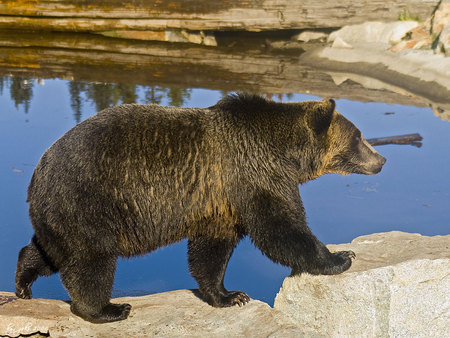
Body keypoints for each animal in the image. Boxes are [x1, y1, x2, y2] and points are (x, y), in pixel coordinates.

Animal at [14, 92, 386, 322]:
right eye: (359, 137)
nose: (381, 159)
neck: (288, 154)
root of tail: (37, 173)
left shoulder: (219, 200)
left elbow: (212, 251)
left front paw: (229, 294)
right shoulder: (254, 174)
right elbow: (281, 227)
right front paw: (340, 257)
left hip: (60, 215)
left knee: (50, 250)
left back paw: (23, 282)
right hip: (91, 201)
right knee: (92, 260)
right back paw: (107, 309)